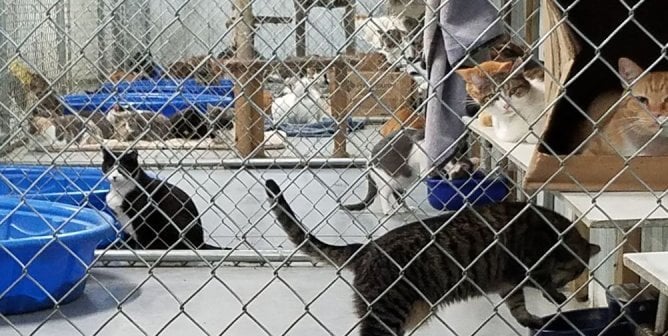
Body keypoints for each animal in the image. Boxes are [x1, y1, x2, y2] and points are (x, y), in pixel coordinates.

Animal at [264, 178, 600, 334]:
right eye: (575, 272)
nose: (568, 283)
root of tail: (368, 246)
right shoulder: (529, 265)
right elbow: (540, 281)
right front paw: (555, 295)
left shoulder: (510, 283)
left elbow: (518, 307)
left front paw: (531, 319)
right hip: (386, 313)